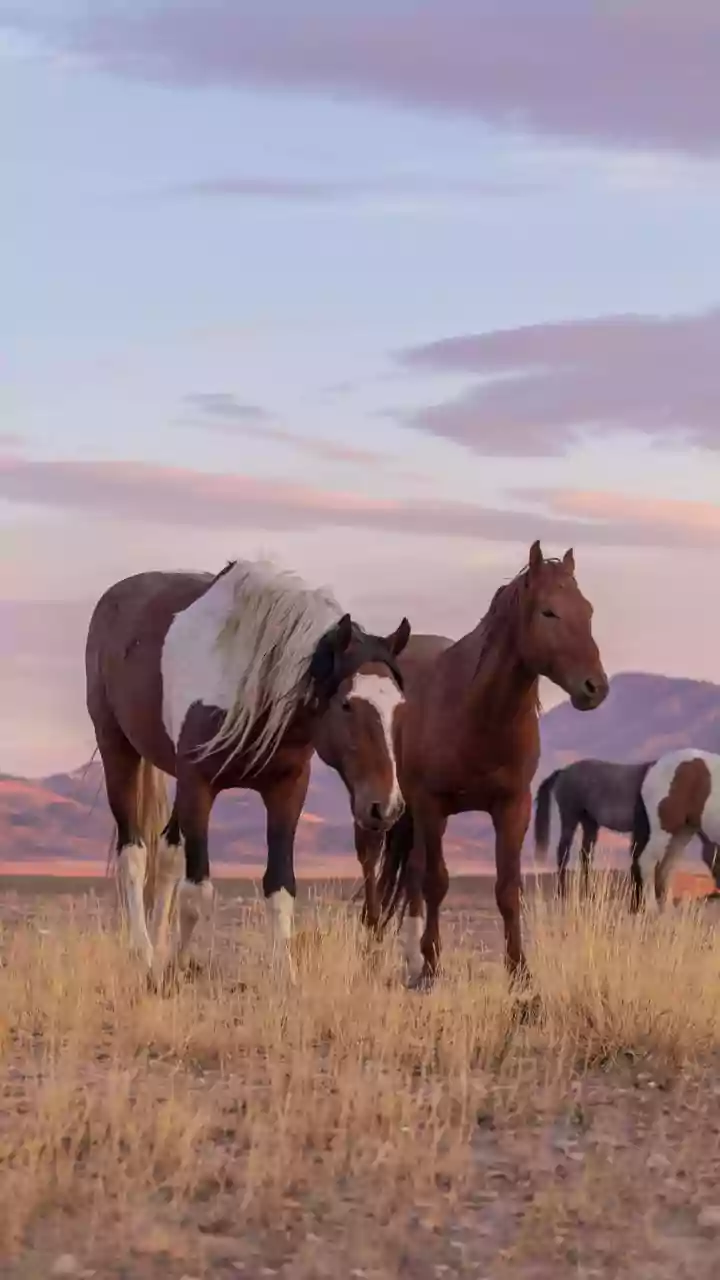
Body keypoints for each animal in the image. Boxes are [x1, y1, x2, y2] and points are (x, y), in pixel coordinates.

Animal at [85, 557, 411, 982]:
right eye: (347, 704)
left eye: (400, 706)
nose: (385, 808)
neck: (252, 686)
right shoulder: (198, 784)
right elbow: (198, 891)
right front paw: (175, 969)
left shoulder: (287, 790)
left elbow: (280, 887)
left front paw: (285, 976)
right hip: (118, 749)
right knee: (134, 854)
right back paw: (144, 953)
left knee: (168, 854)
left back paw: (157, 947)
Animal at [317, 541, 608, 990]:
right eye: (549, 612)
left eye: (588, 610)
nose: (596, 687)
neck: (476, 715)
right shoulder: (432, 805)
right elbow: (437, 882)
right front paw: (432, 968)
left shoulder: (512, 808)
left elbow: (506, 889)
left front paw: (519, 973)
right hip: (376, 804)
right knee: (373, 864)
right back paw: (374, 950)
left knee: (411, 873)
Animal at [534, 758, 720, 899]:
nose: (717, 890)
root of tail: (563, 771)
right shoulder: (643, 833)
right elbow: (639, 862)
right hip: (570, 818)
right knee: (563, 852)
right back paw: (562, 893)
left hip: (590, 823)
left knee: (586, 856)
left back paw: (589, 893)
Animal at [630, 747, 720, 910]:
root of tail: (655, 765)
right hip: (663, 831)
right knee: (648, 862)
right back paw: (652, 909)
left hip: (682, 833)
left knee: (668, 867)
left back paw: (668, 911)